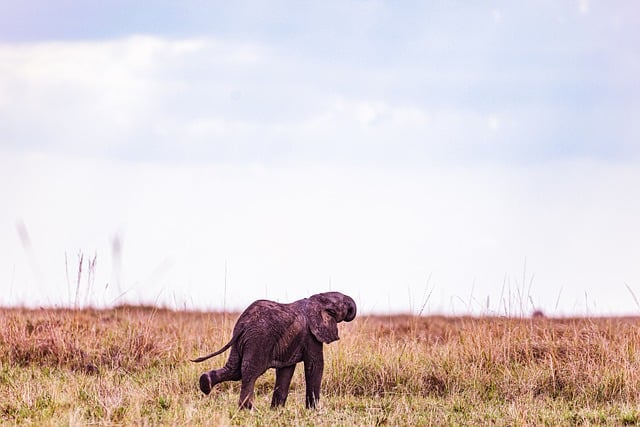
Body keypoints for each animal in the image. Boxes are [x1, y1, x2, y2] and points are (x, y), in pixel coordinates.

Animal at [192, 292, 358, 410]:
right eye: (342, 305)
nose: (352, 309)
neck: (317, 299)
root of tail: (243, 325)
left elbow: (286, 370)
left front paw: (276, 410)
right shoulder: (312, 334)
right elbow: (315, 366)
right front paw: (314, 411)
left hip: (243, 341)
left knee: (234, 370)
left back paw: (205, 383)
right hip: (259, 340)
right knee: (250, 372)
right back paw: (248, 409)